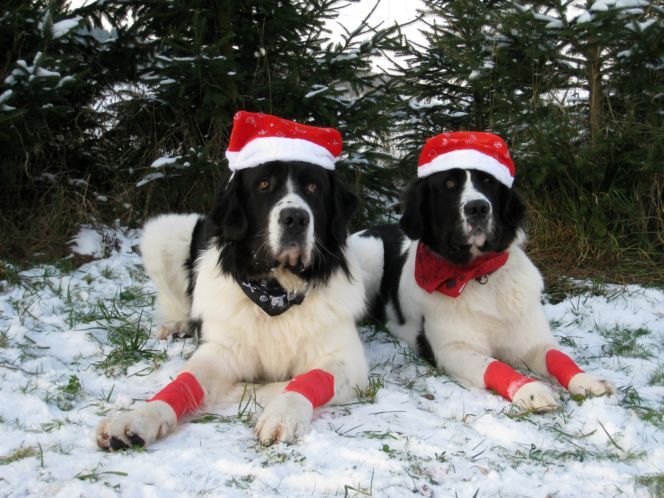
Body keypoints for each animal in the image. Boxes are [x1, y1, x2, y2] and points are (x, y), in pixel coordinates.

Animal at [96, 112, 368, 450]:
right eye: (263, 185)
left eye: (313, 187)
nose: (295, 218)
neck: (276, 291)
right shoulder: (220, 350)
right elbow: (186, 381)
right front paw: (137, 418)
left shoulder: (346, 358)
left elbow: (306, 380)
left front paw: (282, 414)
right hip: (162, 233)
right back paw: (177, 326)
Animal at [349, 132, 614, 411]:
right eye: (450, 184)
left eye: (488, 182)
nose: (478, 208)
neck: (478, 275)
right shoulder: (452, 349)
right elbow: (492, 364)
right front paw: (530, 390)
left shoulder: (532, 339)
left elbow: (558, 356)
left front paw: (588, 380)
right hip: (370, 255)